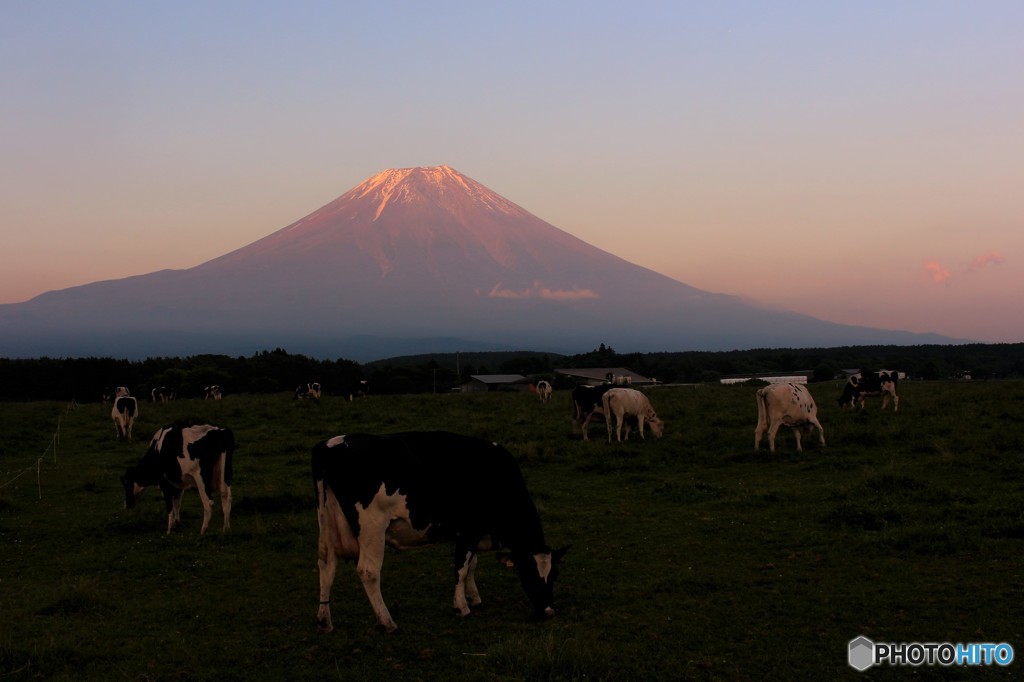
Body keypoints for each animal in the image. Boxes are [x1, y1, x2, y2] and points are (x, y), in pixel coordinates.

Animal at [313, 430, 569, 630]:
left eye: (555, 574)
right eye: (528, 572)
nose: (548, 611)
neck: (496, 477)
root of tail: (332, 444)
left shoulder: (471, 535)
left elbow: (471, 565)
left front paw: (474, 597)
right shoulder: (468, 531)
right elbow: (461, 569)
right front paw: (462, 606)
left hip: (326, 523)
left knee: (326, 565)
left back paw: (325, 620)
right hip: (372, 526)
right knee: (368, 571)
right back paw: (387, 621)